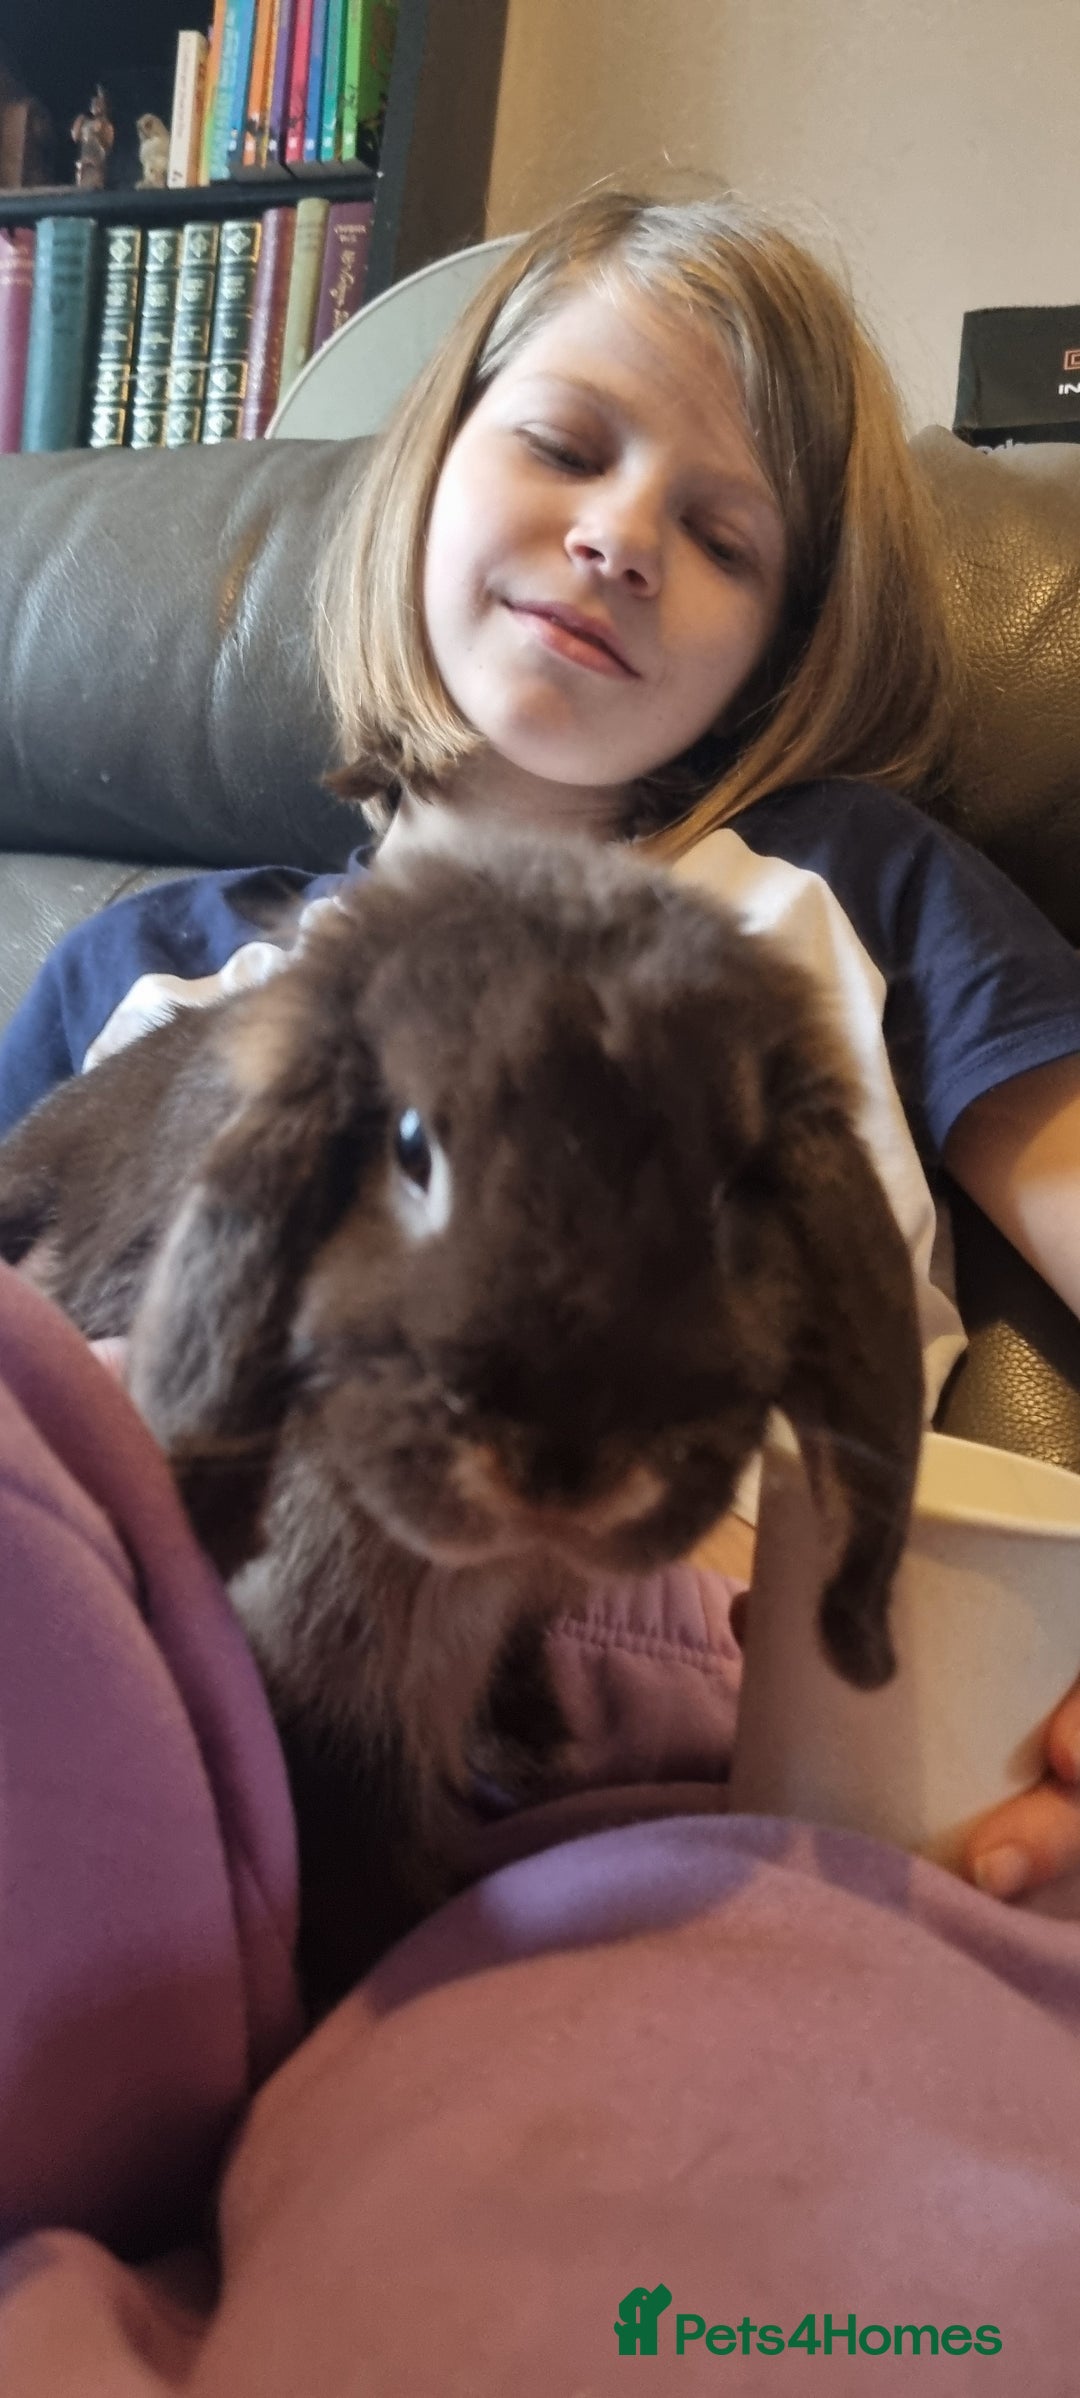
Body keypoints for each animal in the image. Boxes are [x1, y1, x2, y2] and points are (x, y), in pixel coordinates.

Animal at [0, 826, 924, 2004]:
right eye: (409, 1145)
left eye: (732, 1194)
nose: (563, 1462)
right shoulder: (325, 1671)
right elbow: (356, 1832)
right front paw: (392, 1936)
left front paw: (531, 1734)